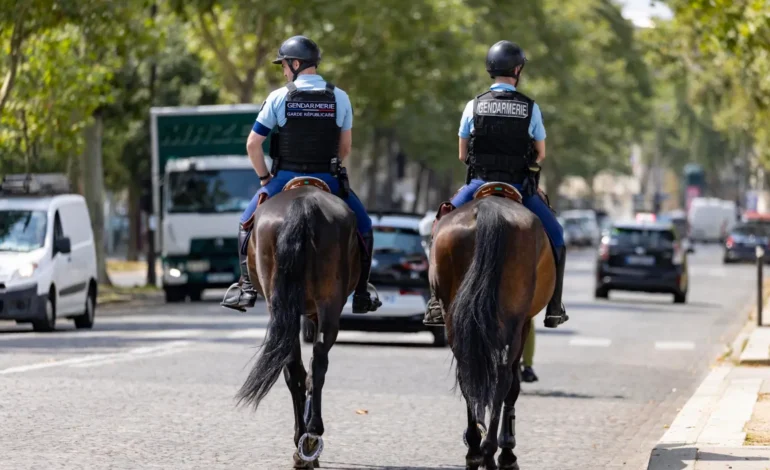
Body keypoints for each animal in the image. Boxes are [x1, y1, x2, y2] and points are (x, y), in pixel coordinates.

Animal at [236, 177, 362, 470]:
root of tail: (303, 205)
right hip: (326, 306)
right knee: (314, 365)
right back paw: (310, 438)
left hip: (287, 309)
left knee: (299, 368)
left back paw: (306, 441)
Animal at [432, 184, 552, 470]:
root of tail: (488, 209)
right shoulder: (523, 324)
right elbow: (513, 385)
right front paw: (508, 452)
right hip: (513, 322)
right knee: (503, 378)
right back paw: (490, 452)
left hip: (455, 319)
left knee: (467, 373)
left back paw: (475, 448)